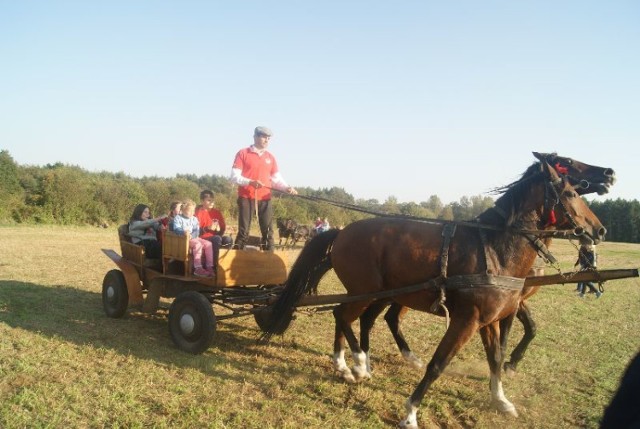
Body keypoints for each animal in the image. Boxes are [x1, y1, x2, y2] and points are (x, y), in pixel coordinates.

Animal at [360, 150, 616, 372]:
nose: (609, 173)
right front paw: (506, 365)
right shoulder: (510, 303)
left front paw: (509, 365)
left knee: (382, 318)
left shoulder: (514, 301)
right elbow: (509, 335)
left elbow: (530, 328)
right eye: (568, 161)